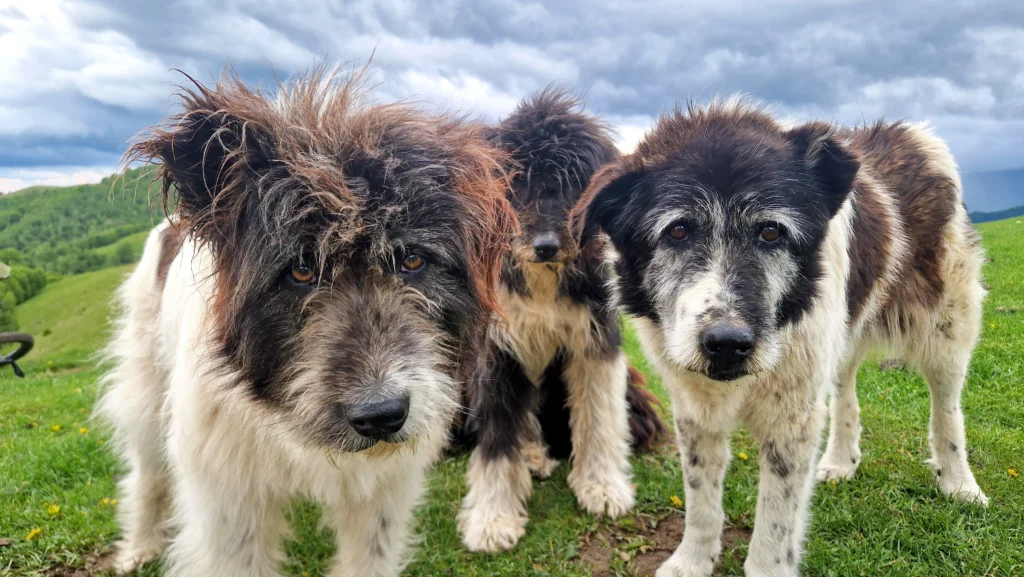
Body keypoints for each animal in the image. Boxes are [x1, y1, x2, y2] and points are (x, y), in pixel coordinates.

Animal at [96, 66, 516, 577]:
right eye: (300, 270)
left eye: (412, 259)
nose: (381, 416)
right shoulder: (230, 503)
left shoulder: (381, 494)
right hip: (146, 385)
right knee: (147, 472)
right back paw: (138, 545)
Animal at [456, 88, 664, 553]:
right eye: (518, 179)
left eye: (573, 180)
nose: (546, 245)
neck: (544, 279)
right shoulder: (498, 352)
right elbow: (497, 439)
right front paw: (493, 518)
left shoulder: (596, 341)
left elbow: (599, 417)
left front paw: (602, 486)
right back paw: (532, 456)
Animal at [572, 100, 988, 577]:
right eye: (677, 231)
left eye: (771, 231)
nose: (727, 343)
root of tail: (915, 134)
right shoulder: (694, 409)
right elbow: (700, 501)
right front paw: (692, 561)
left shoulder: (791, 419)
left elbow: (775, 520)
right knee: (845, 394)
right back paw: (840, 460)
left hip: (947, 330)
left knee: (947, 408)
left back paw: (959, 482)